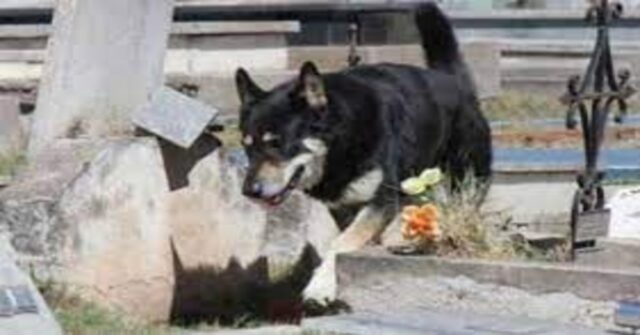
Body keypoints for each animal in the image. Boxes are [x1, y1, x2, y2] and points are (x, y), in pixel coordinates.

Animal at [234, 3, 490, 302]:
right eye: (247, 145)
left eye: (276, 143)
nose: (249, 191)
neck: (343, 139)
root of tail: (454, 80)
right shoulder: (342, 207)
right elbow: (337, 240)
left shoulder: (380, 201)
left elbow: (339, 244)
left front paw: (320, 286)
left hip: (462, 181)